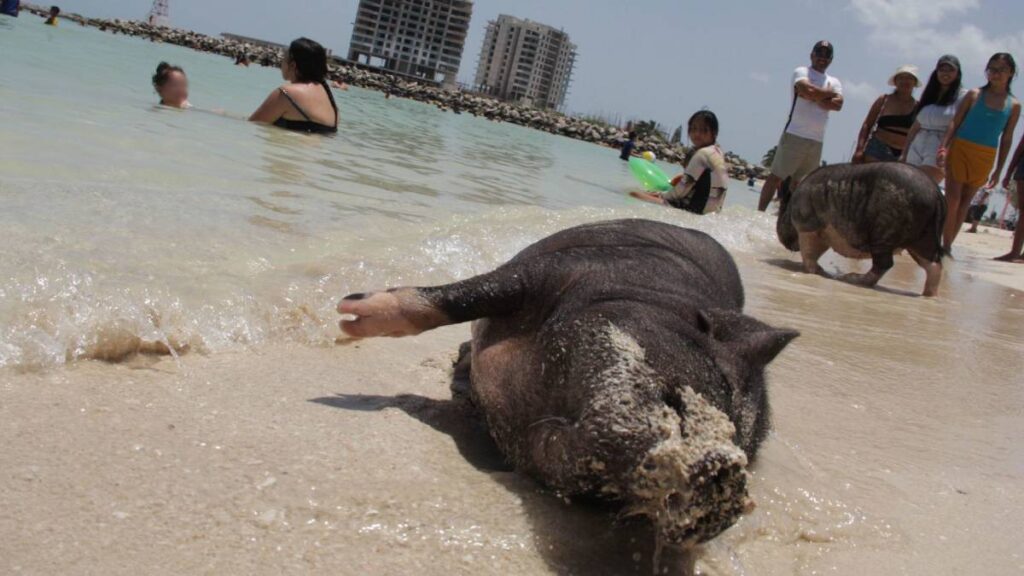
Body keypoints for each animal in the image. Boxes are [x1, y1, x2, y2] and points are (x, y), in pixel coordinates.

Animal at [337, 219, 798, 550]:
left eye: (740, 443)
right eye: (679, 400)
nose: (725, 470)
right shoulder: (553, 270)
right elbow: (459, 298)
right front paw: (348, 318)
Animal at [776, 162, 945, 296]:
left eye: (781, 211)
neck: (791, 206)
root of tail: (936, 194)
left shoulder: (808, 226)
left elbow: (809, 252)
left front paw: (818, 272)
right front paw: (822, 272)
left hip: (884, 234)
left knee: (884, 263)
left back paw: (851, 279)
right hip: (925, 237)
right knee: (933, 264)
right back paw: (928, 295)